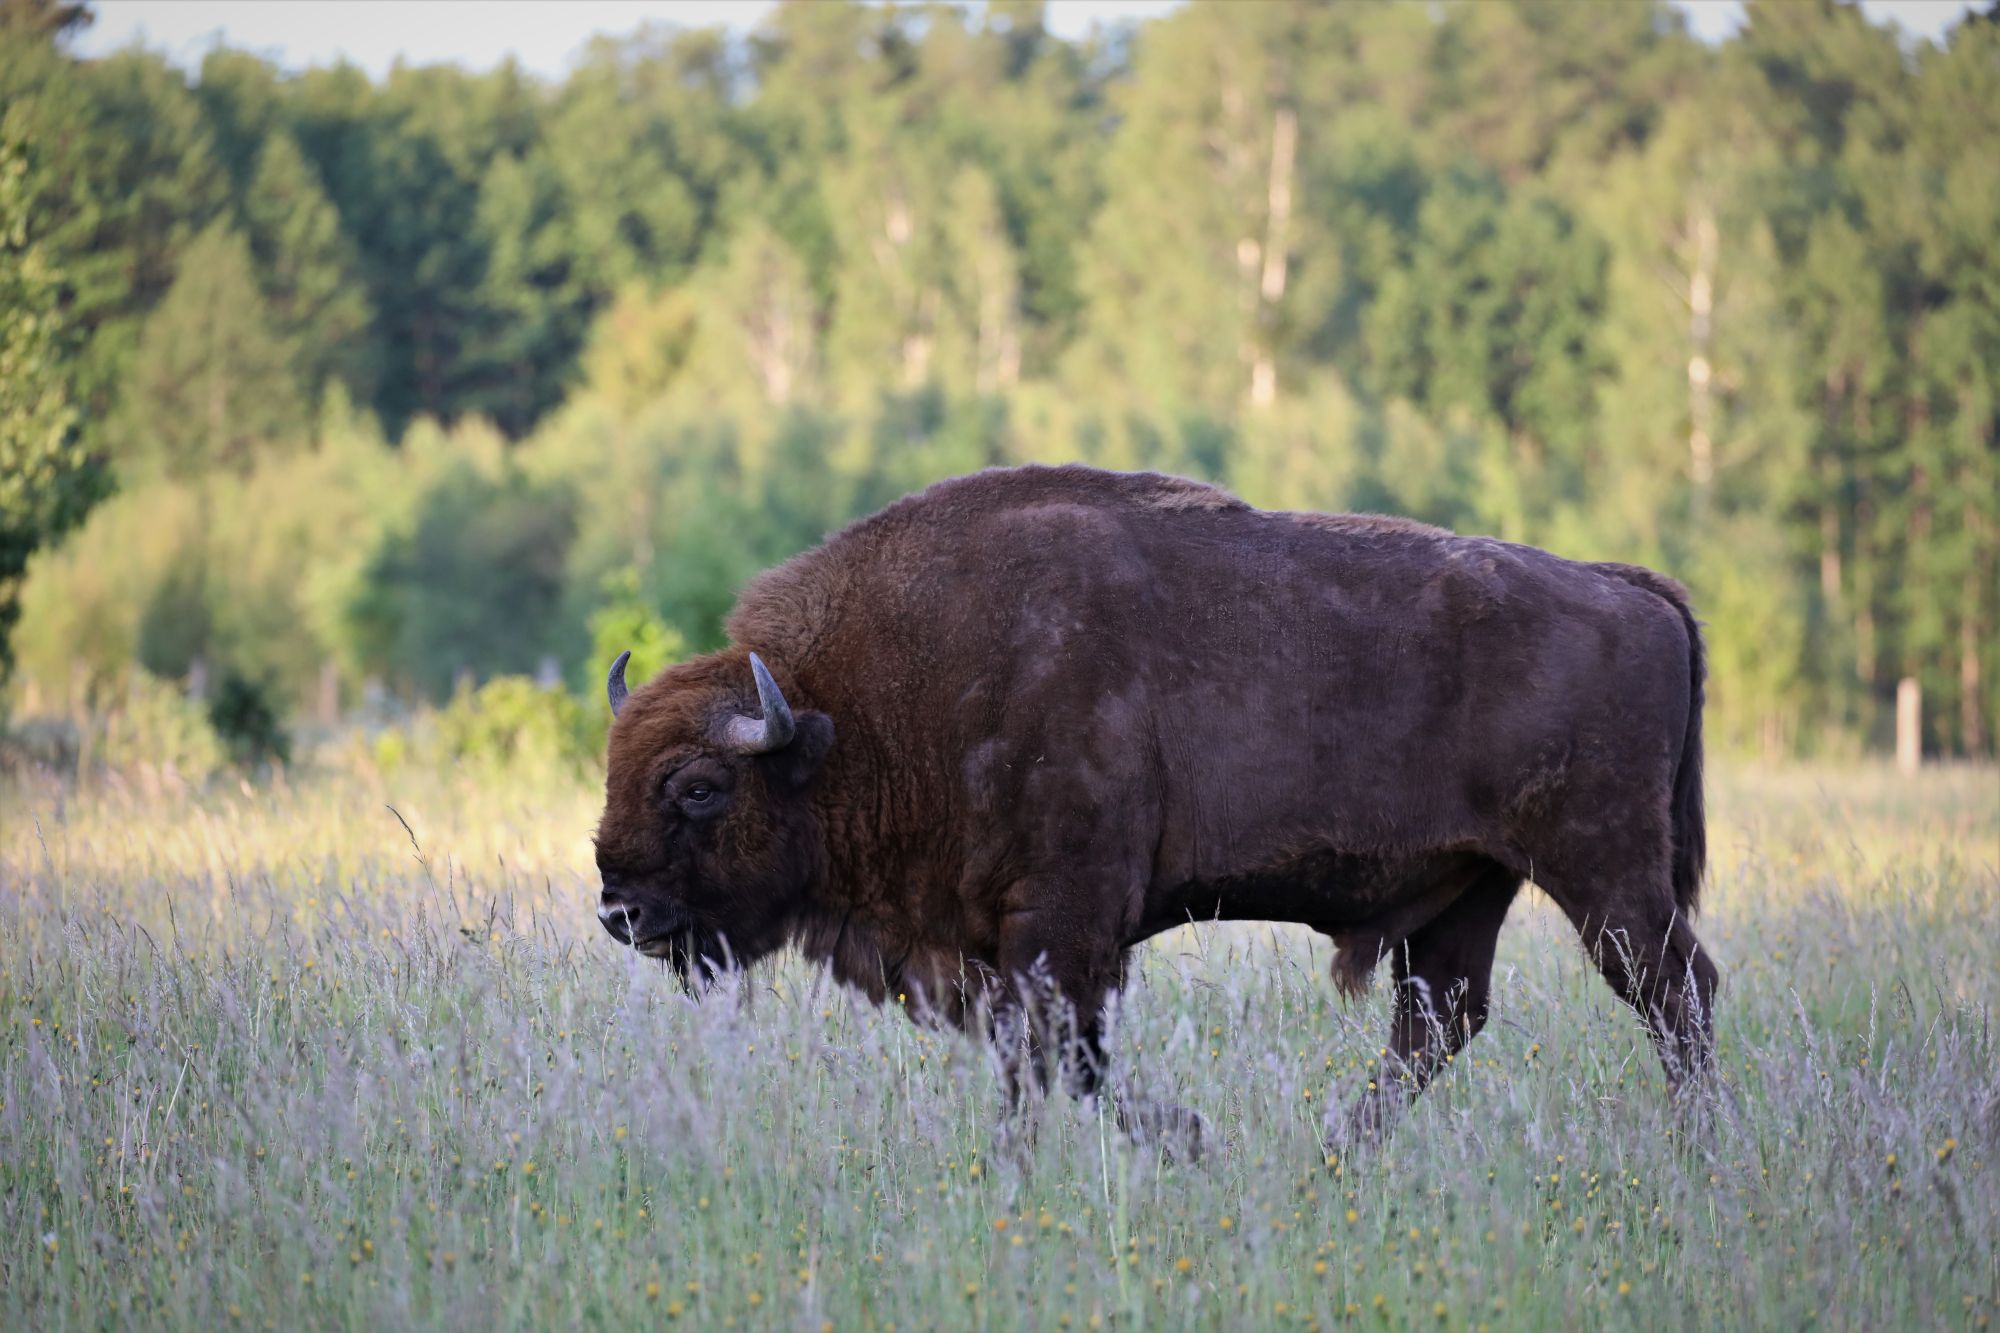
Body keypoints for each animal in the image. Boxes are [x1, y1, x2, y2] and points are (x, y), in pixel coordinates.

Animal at [593, 464, 1716, 1154]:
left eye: (697, 787)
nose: (619, 909)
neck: (853, 714)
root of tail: (1629, 590)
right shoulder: (1008, 947)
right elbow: (1052, 1057)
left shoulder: (1063, 923)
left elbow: (1061, 1055)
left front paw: (1164, 1145)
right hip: (1468, 886)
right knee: (1439, 1018)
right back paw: (1331, 1156)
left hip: (1601, 870)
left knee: (1674, 992)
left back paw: (1701, 1148)